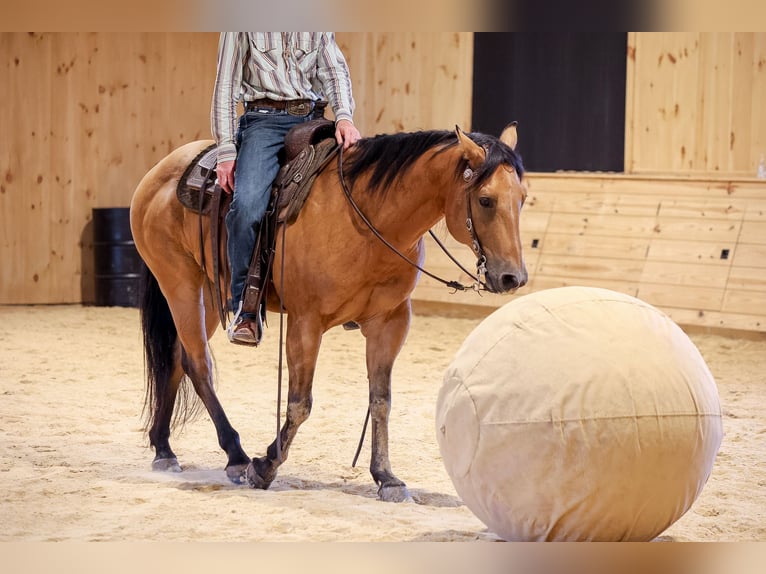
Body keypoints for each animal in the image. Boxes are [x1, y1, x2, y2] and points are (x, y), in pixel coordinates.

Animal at [129, 122, 527, 502]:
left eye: (522, 198)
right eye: (486, 200)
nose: (513, 277)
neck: (368, 219)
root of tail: (162, 170)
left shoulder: (390, 324)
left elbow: (381, 402)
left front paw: (386, 477)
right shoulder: (305, 323)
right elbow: (299, 403)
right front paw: (265, 467)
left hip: (210, 292)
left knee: (177, 359)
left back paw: (164, 449)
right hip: (179, 282)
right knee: (198, 364)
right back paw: (236, 456)